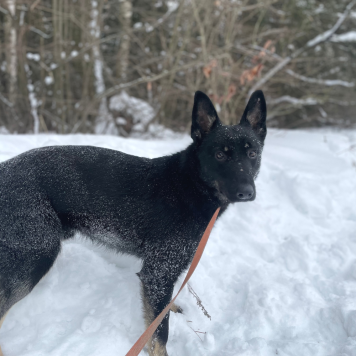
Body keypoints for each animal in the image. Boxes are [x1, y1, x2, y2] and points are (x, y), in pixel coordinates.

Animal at [0, 89, 266, 356]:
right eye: (220, 155)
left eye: (252, 154)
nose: (247, 192)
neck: (189, 185)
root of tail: (4, 169)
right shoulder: (158, 273)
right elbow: (159, 334)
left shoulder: (160, 277)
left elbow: (158, 314)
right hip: (35, 257)